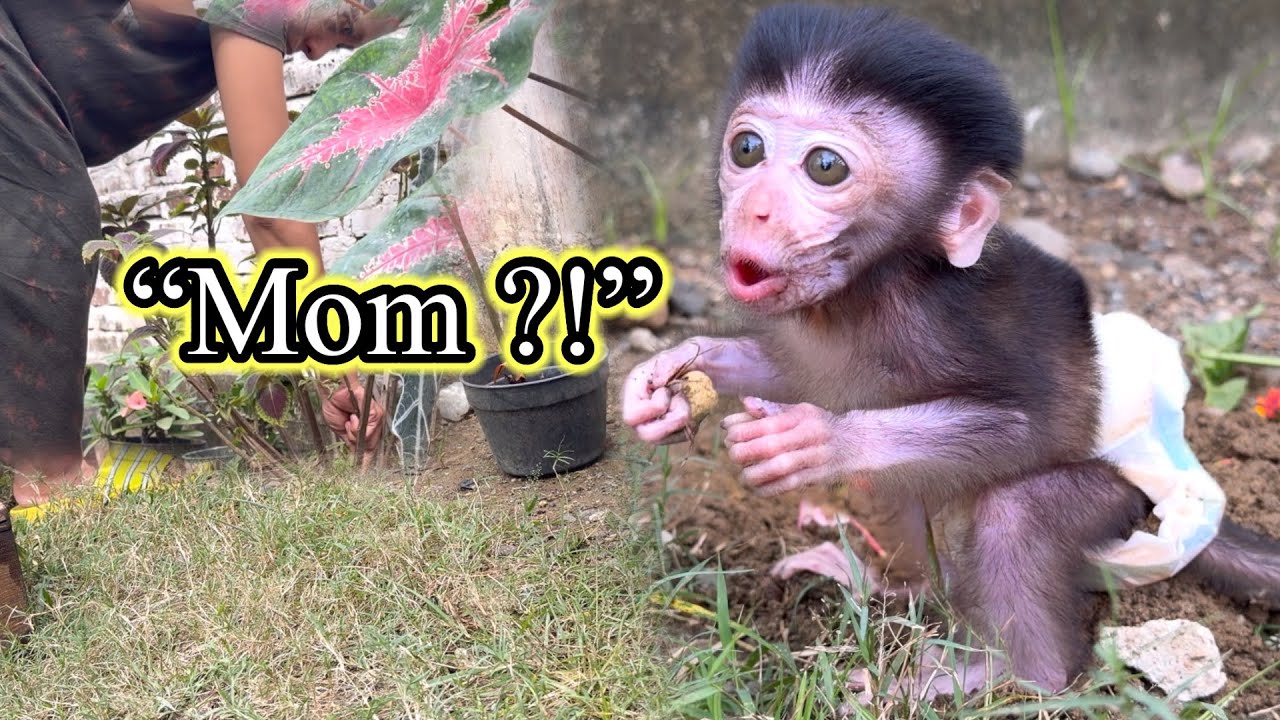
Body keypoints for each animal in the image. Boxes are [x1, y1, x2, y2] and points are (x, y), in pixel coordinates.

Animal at [621, 3, 1280, 697]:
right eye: (746, 150)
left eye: (825, 167)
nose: (755, 211)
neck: (870, 289)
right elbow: (799, 375)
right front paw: (671, 374)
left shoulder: (954, 320)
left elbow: (1033, 424)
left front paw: (822, 440)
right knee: (893, 485)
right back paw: (894, 585)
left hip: (1124, 503)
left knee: (1015, 509)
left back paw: (1002, 672)